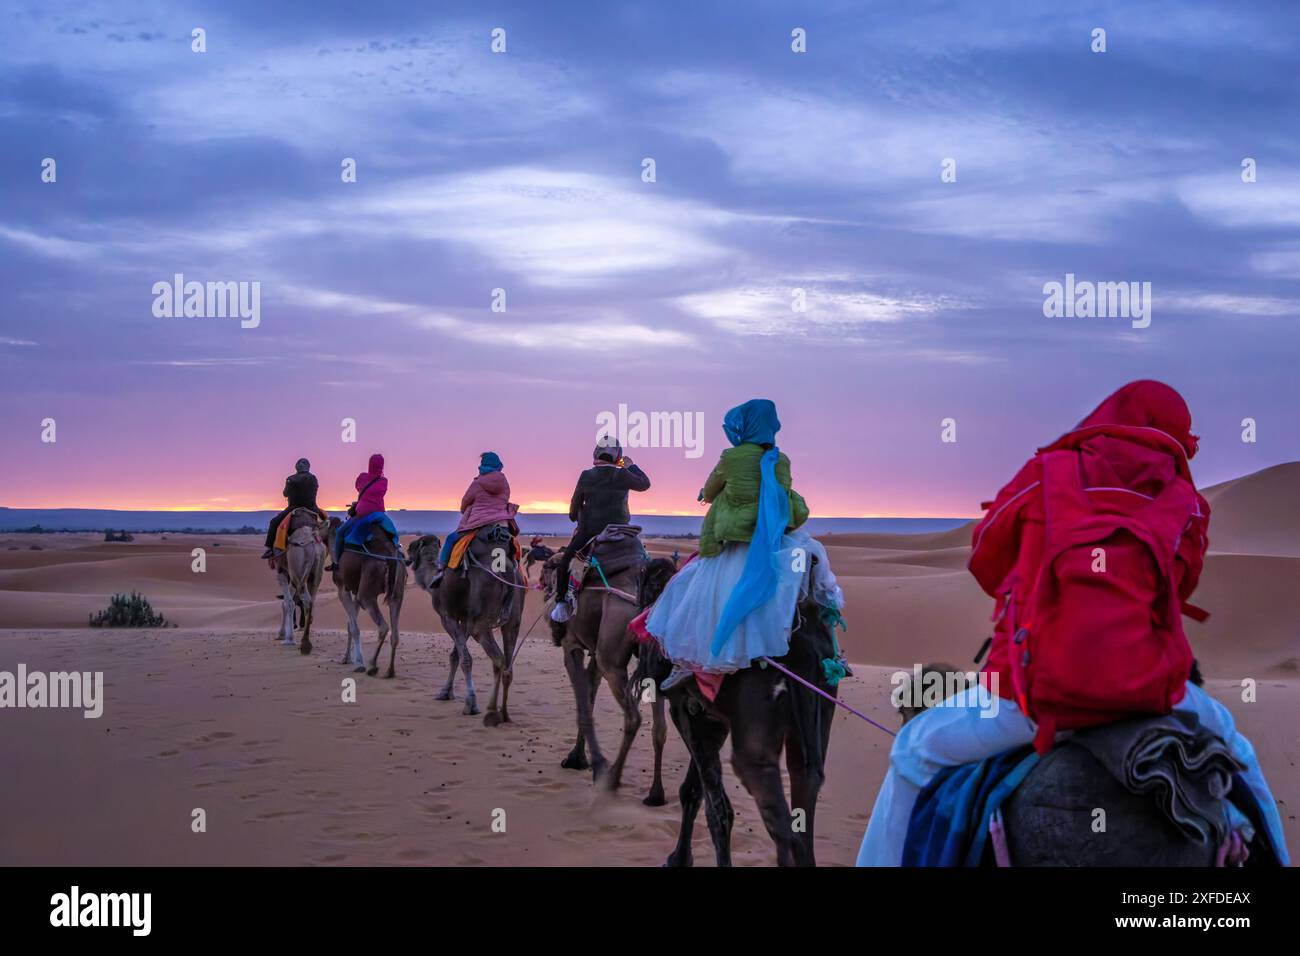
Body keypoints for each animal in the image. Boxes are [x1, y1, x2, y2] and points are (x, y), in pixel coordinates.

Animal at [270, 504, 325, 655]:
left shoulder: (283, 572)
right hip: (316, 572)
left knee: (304, 600)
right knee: (311, 600)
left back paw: (303, 643)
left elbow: (288, 602)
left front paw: (288, 638)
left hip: (297, 570)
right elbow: (287, 602)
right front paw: (284, 634)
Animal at [322, 520, 403, 676]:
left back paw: (372, 666)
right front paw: (347, 658)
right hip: (397, 593)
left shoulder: (343, 589)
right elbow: (350, 623)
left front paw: (358, 663)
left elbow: (353, 626)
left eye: (320, 525)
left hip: (367, 593)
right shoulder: (355, 591)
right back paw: (390, 671)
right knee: (395, 633)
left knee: (383, 627)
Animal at [408, 530, 525, 723]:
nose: (405, 554)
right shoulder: (465, 620)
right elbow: (455, 655)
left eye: (413, 546)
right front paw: (445, 692)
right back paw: (503, 713)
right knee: (507, 663)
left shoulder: (448, 617)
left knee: (497, 658)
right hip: (513, 619)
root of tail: (508, 571)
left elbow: (465, 658)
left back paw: (489, 709)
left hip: (482, 621)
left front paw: (470, 703)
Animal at [540, 548, 676, 806]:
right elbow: (589, 695)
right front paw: (579, 757)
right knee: (660, 728)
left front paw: (583, 761)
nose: (542, 584)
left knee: (633, 717)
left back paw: (611, 778)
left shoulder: (572, 646)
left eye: (545, 569)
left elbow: (583, 703)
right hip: (654, 660)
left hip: (612, 660)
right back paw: (656, 794)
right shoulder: (594, 652)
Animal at [634, 590, 837, 868]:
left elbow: (716, 810)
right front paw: (679, 857)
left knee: (781, 822)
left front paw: (680, 858)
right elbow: (695, 791)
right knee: (805, 786)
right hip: (818, 708)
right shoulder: (713, 718)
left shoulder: (686, 710)